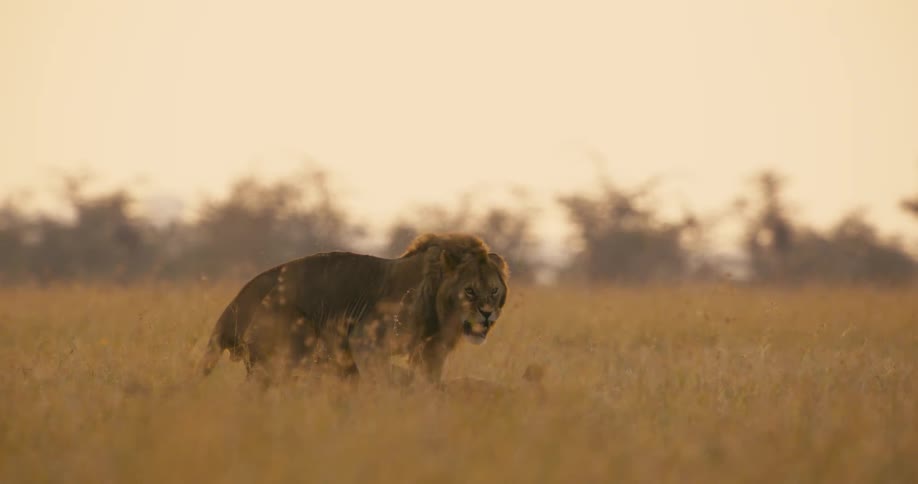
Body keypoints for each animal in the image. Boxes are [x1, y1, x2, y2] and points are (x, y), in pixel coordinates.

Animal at [198, 233, 510, 386]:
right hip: (292, 344)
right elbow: (380, 379)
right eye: (470, 291)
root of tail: (241, 296)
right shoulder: (366, 340)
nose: (486, 314)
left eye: (494, 291)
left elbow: (428, 383)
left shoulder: (432, 352)